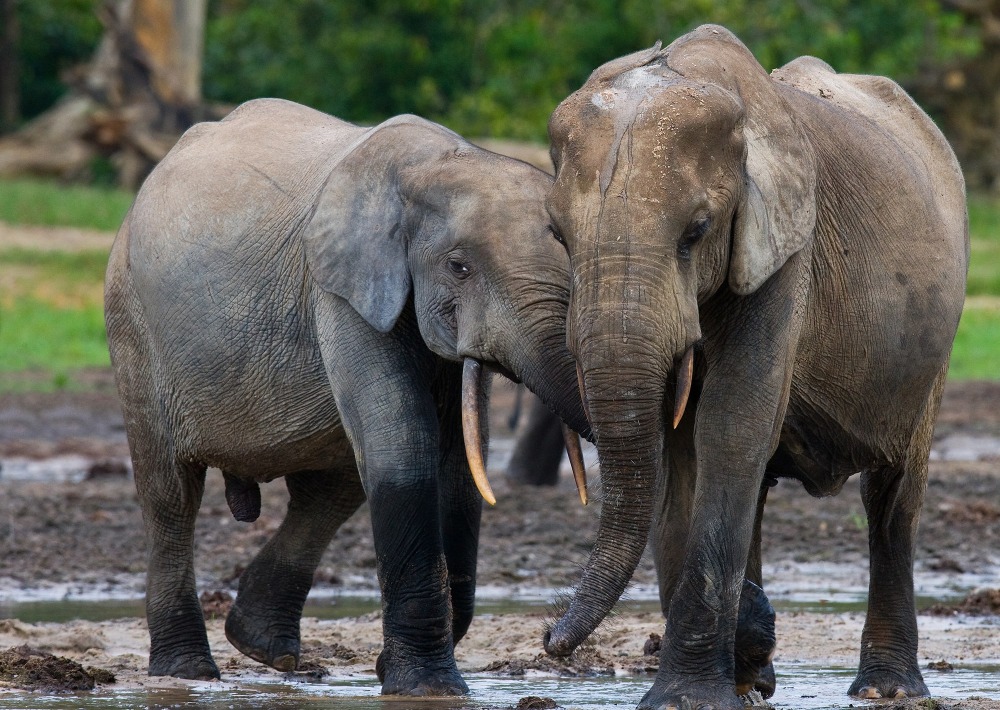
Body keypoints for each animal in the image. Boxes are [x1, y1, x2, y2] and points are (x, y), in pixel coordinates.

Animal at [102, 97, 588, 700]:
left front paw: (401, 674)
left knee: (332, 489)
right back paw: (187, 673)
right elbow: (404, 444)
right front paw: (426, 689)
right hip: (132, 323)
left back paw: (266, 649)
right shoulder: (341, 289)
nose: (552, 639)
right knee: (170, 495)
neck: (436, 164)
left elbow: (457, 468)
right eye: (459, 267)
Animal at [540, 23, 968, 710]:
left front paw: (689, 695)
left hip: (934, 350)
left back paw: (886, 689)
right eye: (557, 235)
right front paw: (738, 660)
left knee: (893, 498)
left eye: (696, 232)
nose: (550, 639)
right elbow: (680, 447)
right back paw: (756, 672)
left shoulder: (786, 248)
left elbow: (731, 422)